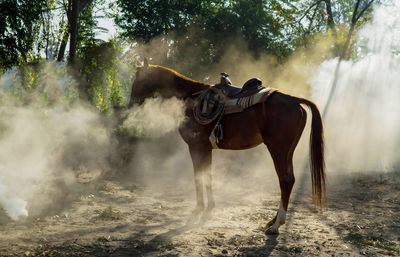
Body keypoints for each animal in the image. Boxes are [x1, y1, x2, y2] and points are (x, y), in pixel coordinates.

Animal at [128, 59, 324, 234]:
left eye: (139, 79)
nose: (130, 104)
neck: (189, 98)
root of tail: (294, 100)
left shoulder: (196, 147)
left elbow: (198, 177)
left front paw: (198, 211)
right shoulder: (206, 149)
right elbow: (208, 176)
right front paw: (208, 210)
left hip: (278, 150)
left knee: (285, 180)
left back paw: (276, 225)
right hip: (288, 151)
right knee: (289, 180)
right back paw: (272, 221)